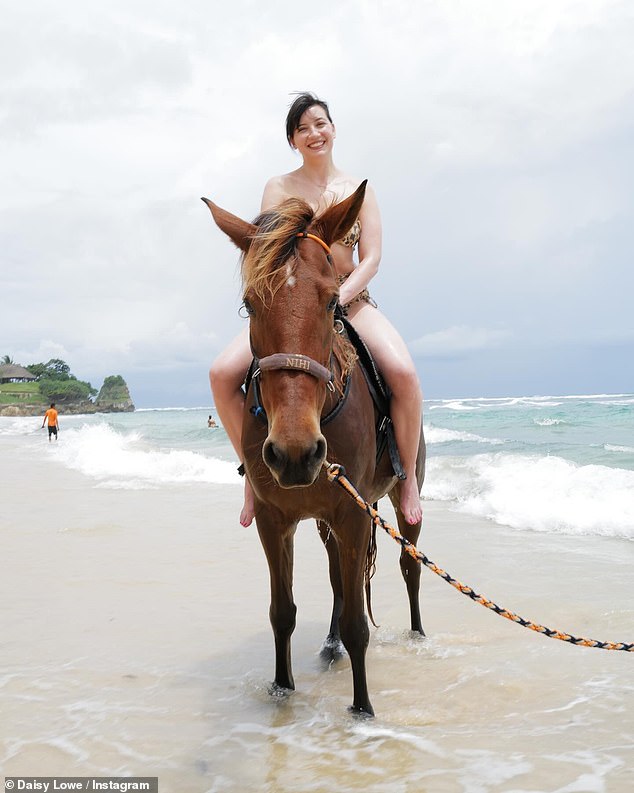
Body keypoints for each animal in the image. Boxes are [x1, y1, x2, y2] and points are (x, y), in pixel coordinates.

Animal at [200, 181, 422, 716]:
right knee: (339, 579)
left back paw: (418, 636)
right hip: (326, 523)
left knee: (409, 565)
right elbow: (283, 611)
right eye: (249, 304)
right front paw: (282, 687)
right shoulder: (274, 519)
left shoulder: (353, 513)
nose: (296, 453)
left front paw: (362, 710)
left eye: (331, 301)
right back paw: (330, 644)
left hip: (397, 500)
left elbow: (360, 625)